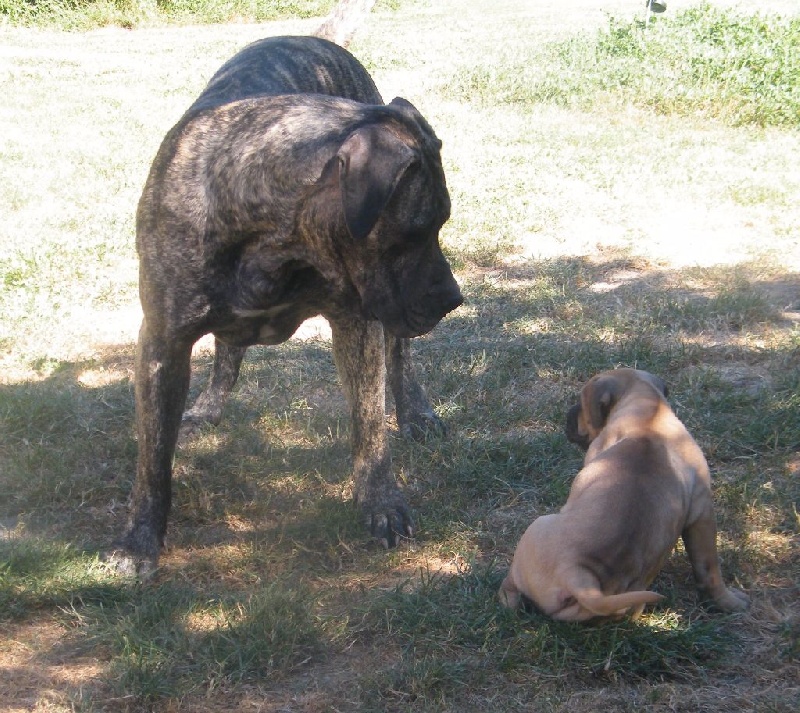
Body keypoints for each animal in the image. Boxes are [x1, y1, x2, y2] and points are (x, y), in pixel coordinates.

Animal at [114, 36, 462, 576]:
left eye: (441, 224)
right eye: (416, 231)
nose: (452, 299)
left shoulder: (357, 323)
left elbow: (370, 428)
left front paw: (381, 503)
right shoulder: (161, 341)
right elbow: (152, 457)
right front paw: (139, 538)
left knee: (400, 358)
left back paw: (416, 412)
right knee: (227, 353)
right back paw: (208, 407)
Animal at [500, 370, 752, 620]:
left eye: (580, 403)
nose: (569, 413)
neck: (650, 413)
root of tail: (580, 577)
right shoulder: (702, 510)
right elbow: (709, 567)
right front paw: (728, 602)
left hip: (535, 528)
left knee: (511, 585)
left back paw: (506, 600)